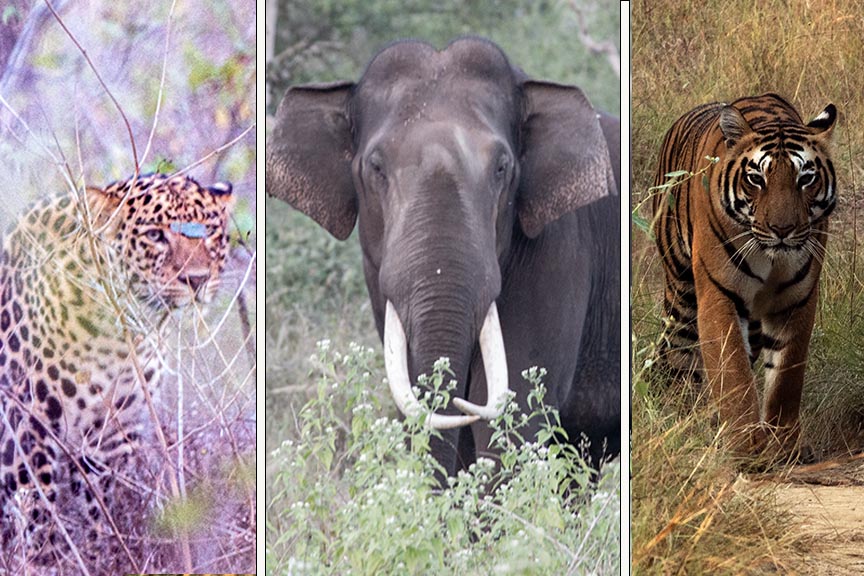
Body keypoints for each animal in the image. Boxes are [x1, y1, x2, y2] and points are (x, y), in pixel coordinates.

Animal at [0, 173, 234, 570]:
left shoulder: (113, 432)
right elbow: (38, 511)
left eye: (211, 232)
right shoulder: (28, 425)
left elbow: (102, 508)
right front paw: (43, 564)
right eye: (155, 235)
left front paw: (102, 559)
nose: (197, 279)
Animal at [650, 92, 837, 458]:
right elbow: (733, 372)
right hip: (681, 291)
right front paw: (747, 447)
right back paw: (683, 415)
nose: (783, 229)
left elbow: (786, 376)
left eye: (806, 179)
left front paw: (782, 444)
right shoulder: (719, 296)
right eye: (756, 179)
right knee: (678, 354)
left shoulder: (796, 300)